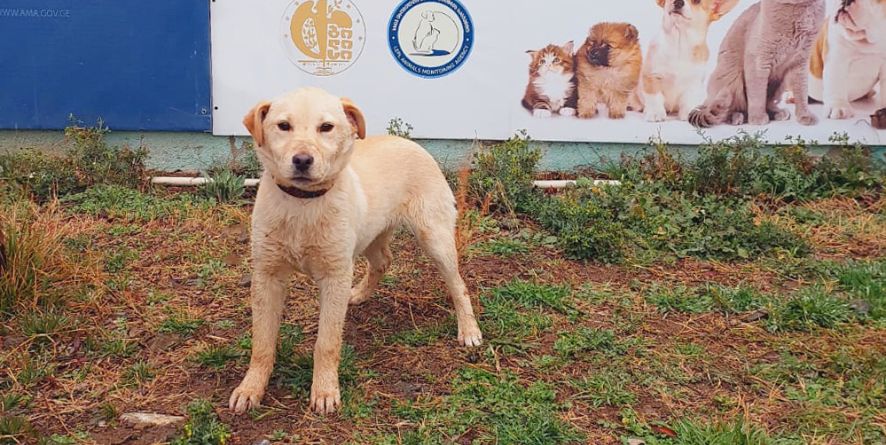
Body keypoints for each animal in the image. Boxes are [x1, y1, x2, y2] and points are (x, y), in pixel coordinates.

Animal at [225, 88, 482, 414]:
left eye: (326, 127)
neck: (303, 204)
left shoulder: (335, 275)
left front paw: (324, 390)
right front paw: (251, 388)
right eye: (283, 126)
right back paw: (359, 293)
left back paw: (469, 330)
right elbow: (262, 342)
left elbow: (327, 342)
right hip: (370, 236)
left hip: (434, 238)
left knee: (458, 285)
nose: (302, 160)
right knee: (384, 261)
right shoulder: (266, 275)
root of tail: (409, 141)